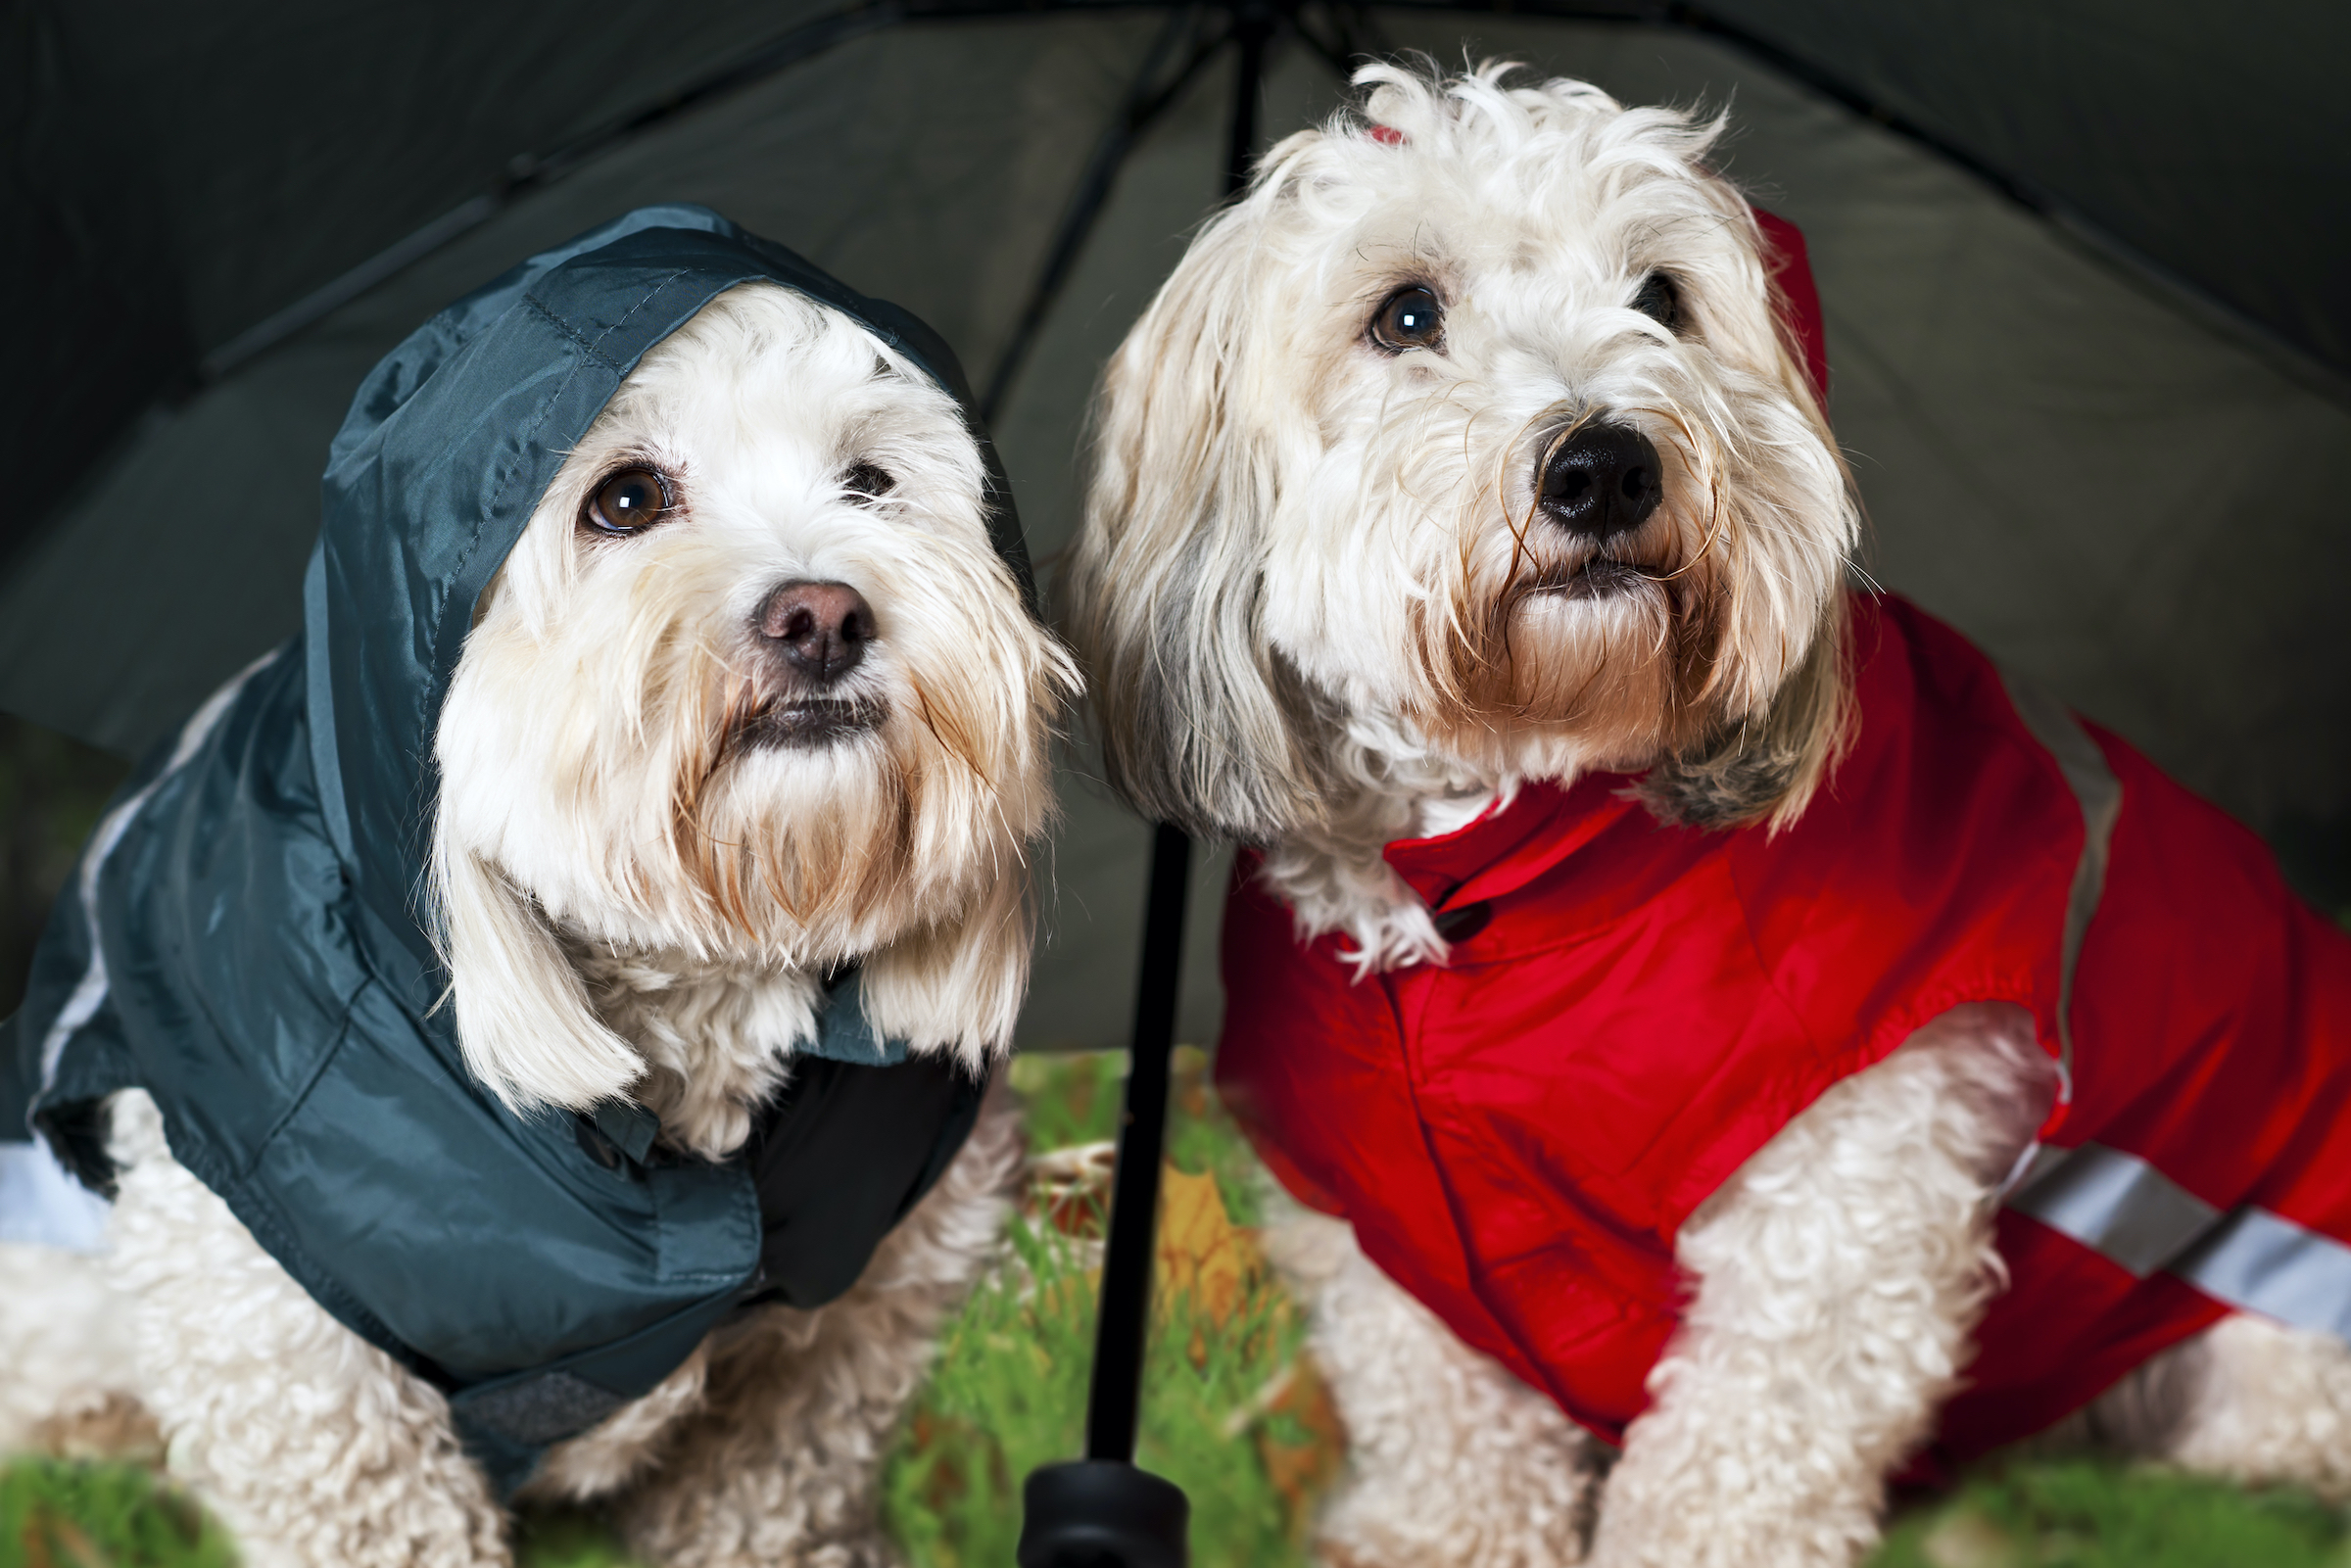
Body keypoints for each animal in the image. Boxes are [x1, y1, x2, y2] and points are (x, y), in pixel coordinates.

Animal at [0, 212, 1077, 1568]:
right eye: (625, 499)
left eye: (873, 484)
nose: (824, 613)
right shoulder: (275, 1332)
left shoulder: (881, 1282)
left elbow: (774, 1482)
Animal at [1062, 61, 2351, 1568]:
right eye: (1406, 314)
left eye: (1663, 296)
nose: (1606, 465)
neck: (1497, 883)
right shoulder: (1386, 1228)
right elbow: (1444, 1426)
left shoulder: (1850, 1191)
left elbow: (1734, 1460)